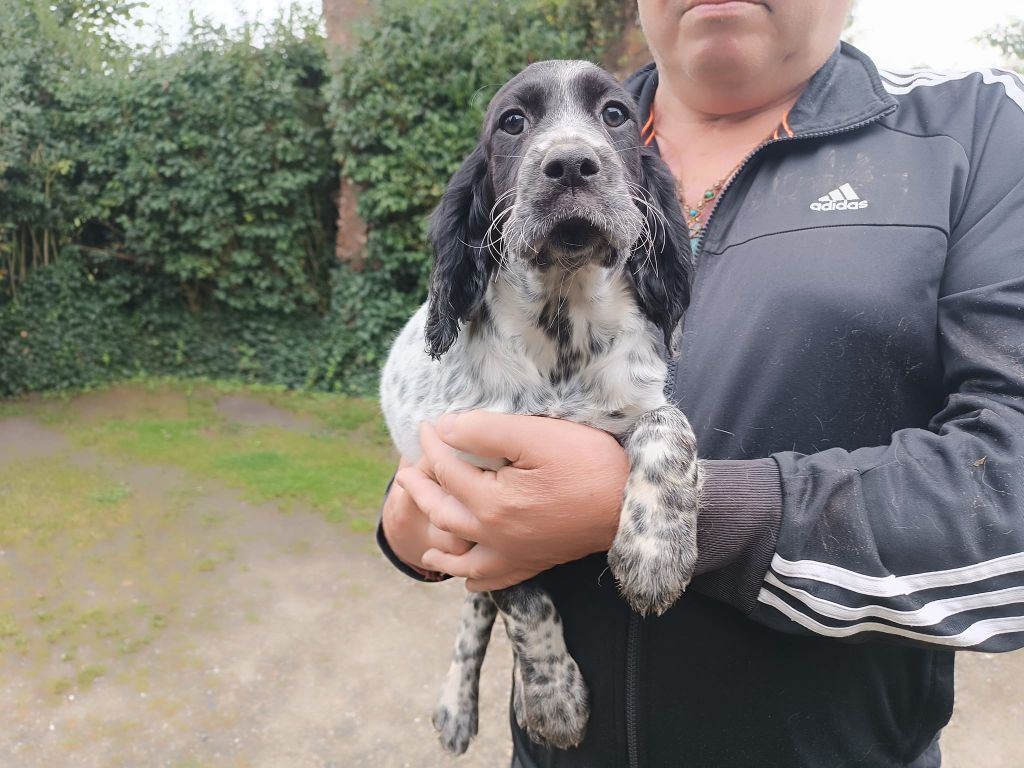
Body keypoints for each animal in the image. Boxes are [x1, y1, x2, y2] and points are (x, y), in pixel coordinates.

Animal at [380, 60, 700, 757]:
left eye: (616, 115)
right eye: (512, 122)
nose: (572, 165)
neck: (562, 326)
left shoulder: (636, 401)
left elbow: (671, 427)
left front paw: (655, 553)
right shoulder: (472, 493)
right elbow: (525, 604)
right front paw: (553, 699)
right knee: (477, 606)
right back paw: (457, 703)